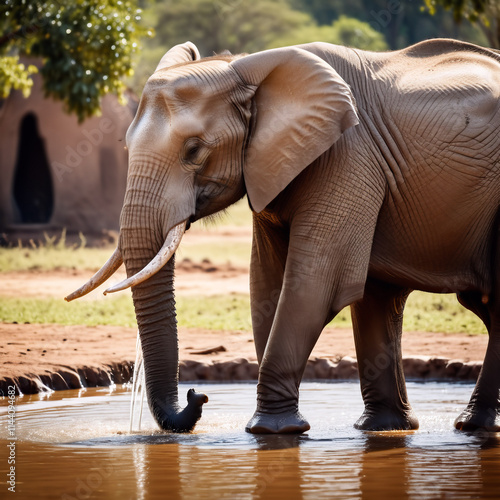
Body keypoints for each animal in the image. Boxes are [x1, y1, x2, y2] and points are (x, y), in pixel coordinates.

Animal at [67, 38, 500, 434]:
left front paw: (271, 431)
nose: (197, 395)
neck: (246, 70)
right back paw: (420, 427)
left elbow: (311, 284)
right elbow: (267, 287)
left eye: (193, 150)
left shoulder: (348, 157)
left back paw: (469, 427)